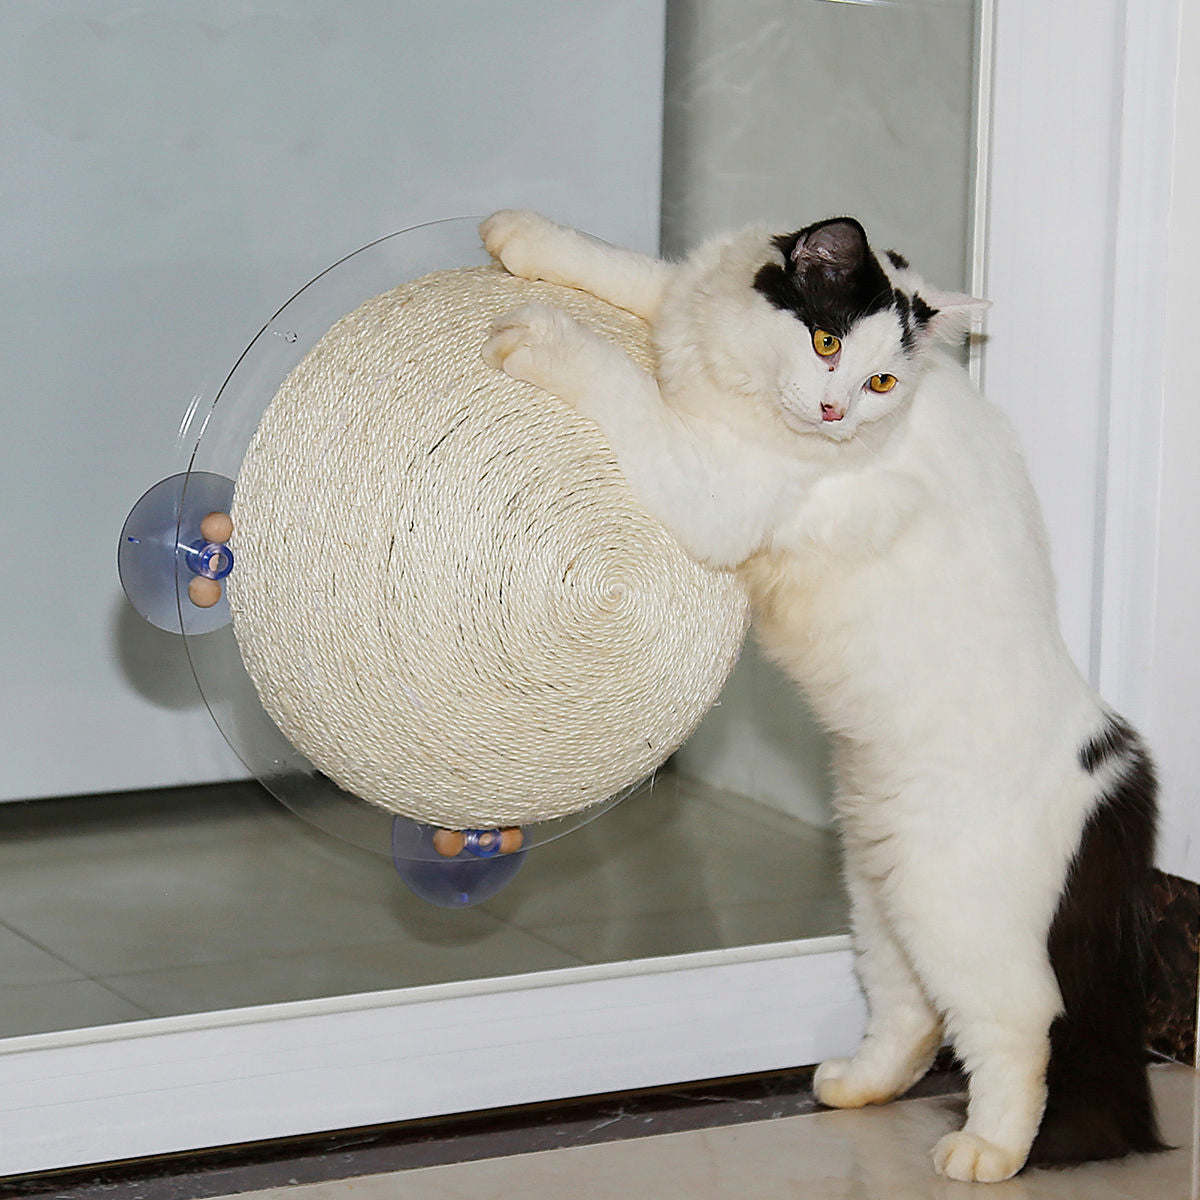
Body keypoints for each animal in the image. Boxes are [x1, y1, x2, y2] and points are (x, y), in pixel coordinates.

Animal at [475, 206, 1161, 1180]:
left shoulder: (706, 483)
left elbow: (620, 382)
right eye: (827, 342)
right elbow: (630, 271)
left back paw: (986, 1150)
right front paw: (525, 239)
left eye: (881, 381)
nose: (837, 411)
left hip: (952, 908)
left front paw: (542, 337)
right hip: (879, 891)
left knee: (1020, 1026)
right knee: (914, 1013)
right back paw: (854, 1086)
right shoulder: (685, 300)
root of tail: (1111, 751)